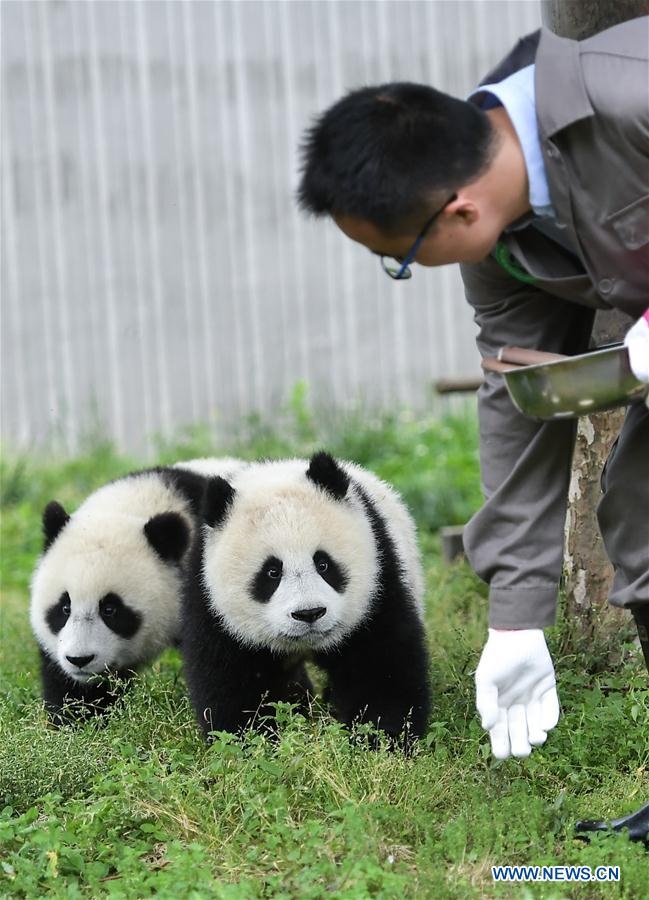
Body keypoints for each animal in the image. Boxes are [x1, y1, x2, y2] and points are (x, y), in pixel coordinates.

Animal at [182, 451, 431, 744]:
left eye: (323, 564)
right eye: (272, 572)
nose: (309, 613)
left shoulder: (379, 579)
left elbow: (380, 662)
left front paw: (382, 736)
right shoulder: (211, 602)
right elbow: (231, 678)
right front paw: (251, 738)